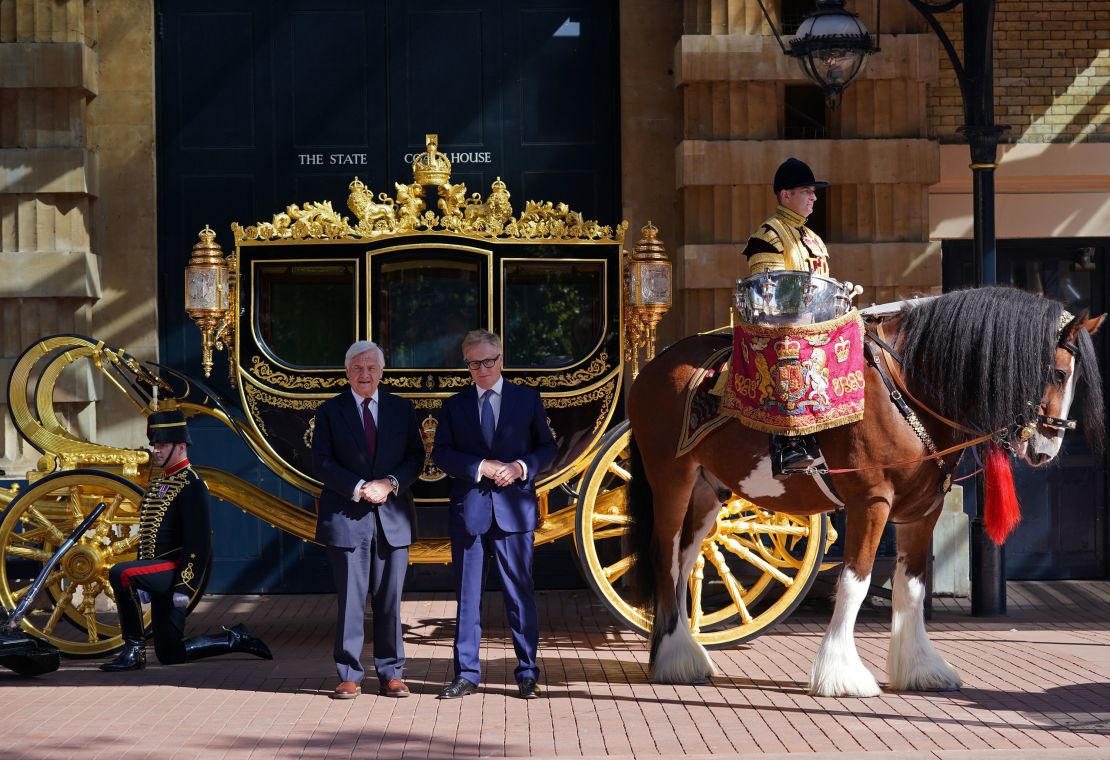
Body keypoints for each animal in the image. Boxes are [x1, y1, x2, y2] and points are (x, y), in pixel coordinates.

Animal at [630, 288, 1105, 696]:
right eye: (1058, 372)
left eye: (1075, 378)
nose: (1045, 449)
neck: (907, 388)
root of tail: (653, 364)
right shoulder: (870, 503)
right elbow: (854, 582)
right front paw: (840, 674)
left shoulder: (923, 512)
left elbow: (911, 588)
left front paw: (920, 668)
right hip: (672, 479)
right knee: (664, 557)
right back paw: (675, 658)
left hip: (708, 490)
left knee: (684, 561)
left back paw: (679, 652)